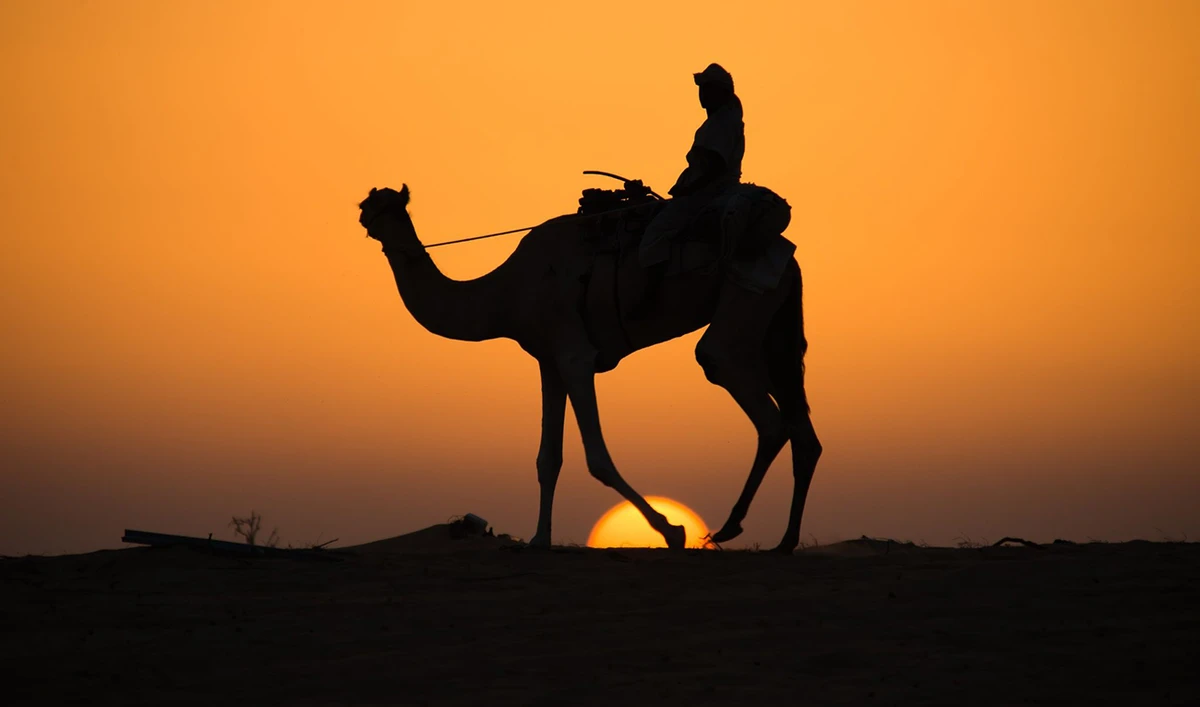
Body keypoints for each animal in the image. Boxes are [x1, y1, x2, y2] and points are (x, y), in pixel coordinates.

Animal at [357, 184, 822, 552]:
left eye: (379, 206)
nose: (363, 216)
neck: (506, 294)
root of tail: (790, 258)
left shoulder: (575, 354)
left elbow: (596, 457)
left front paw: (671, 530)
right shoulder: (548, 360)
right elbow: (548, 458)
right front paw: (538, 539)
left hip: (746, 291)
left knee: (738, 381)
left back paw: (727, 528)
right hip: (773, 319)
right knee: (798, 420)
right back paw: (784, 542)